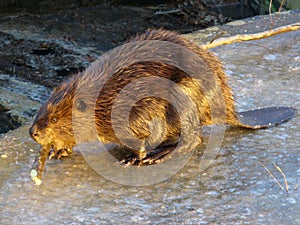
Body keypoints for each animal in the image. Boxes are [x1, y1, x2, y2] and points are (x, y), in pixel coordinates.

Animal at [28, 29, 296, 185]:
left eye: (53, 120)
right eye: (41, 113)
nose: (33, 132)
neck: (103, 97)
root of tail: (233, 112)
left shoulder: (136, 105)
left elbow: (144, 131)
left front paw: (135, 158)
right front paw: (57, 152)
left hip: (185, 92)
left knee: (193, 139)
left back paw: (159, 155)